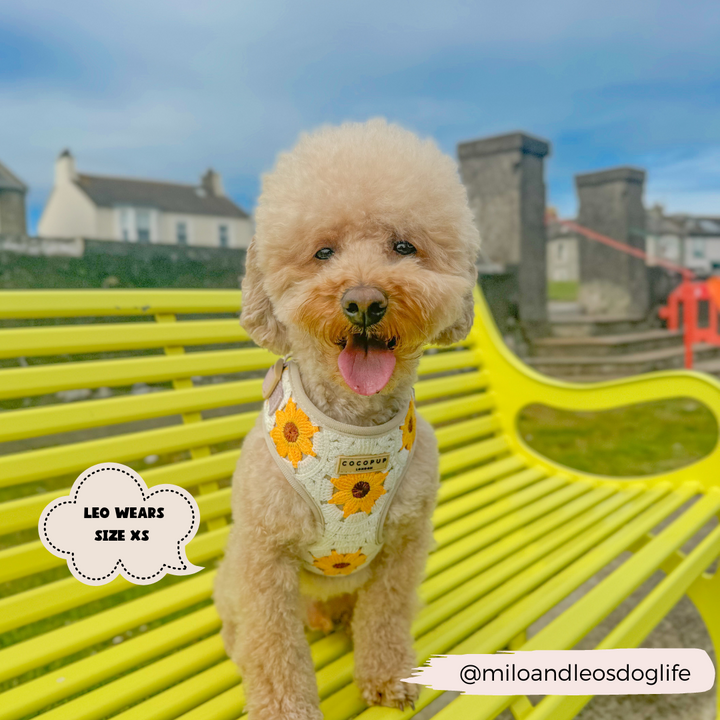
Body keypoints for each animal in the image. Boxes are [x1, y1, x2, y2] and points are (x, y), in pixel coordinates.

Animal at [214, 119, 484, 720]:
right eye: (323, 252)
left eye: (404, 246)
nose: (363, 302)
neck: (354, 429)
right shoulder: (264, 556)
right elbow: (274, 645)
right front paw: (284, 708)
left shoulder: (405, 544)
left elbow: (385, 615)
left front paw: (386, 677)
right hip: (233, 572)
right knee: (244, 627)